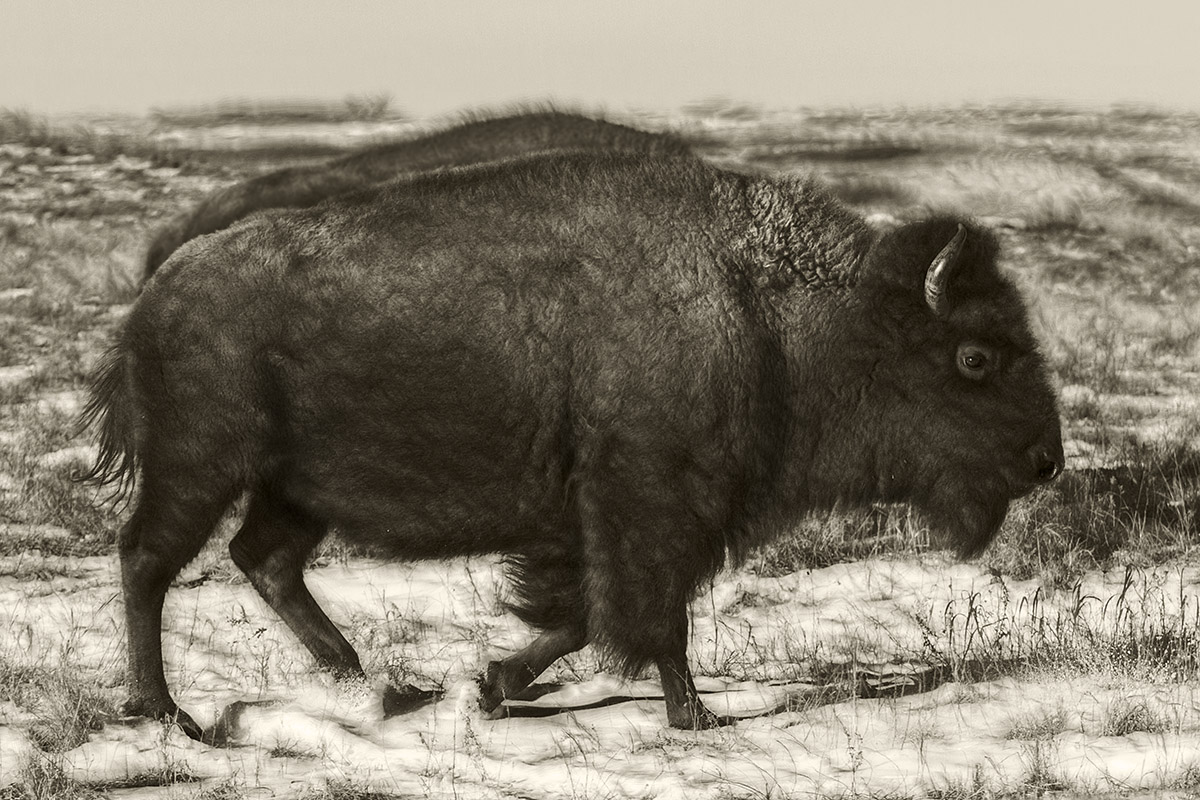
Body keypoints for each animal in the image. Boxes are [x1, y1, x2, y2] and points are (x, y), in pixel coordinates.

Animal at [84, 150, 1063, 737]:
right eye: (976, 357)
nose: (1046, 461)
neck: (773, 313)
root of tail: (156, 292)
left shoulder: (607, 519)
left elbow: (585, 612)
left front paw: (493, 683)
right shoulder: (651, 505)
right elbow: (650, 618)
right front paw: (694, 719)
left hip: (292, 487)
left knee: (265, 560)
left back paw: (370, 682)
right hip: (202, 466)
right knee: (148, 560)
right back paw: (165, 711)